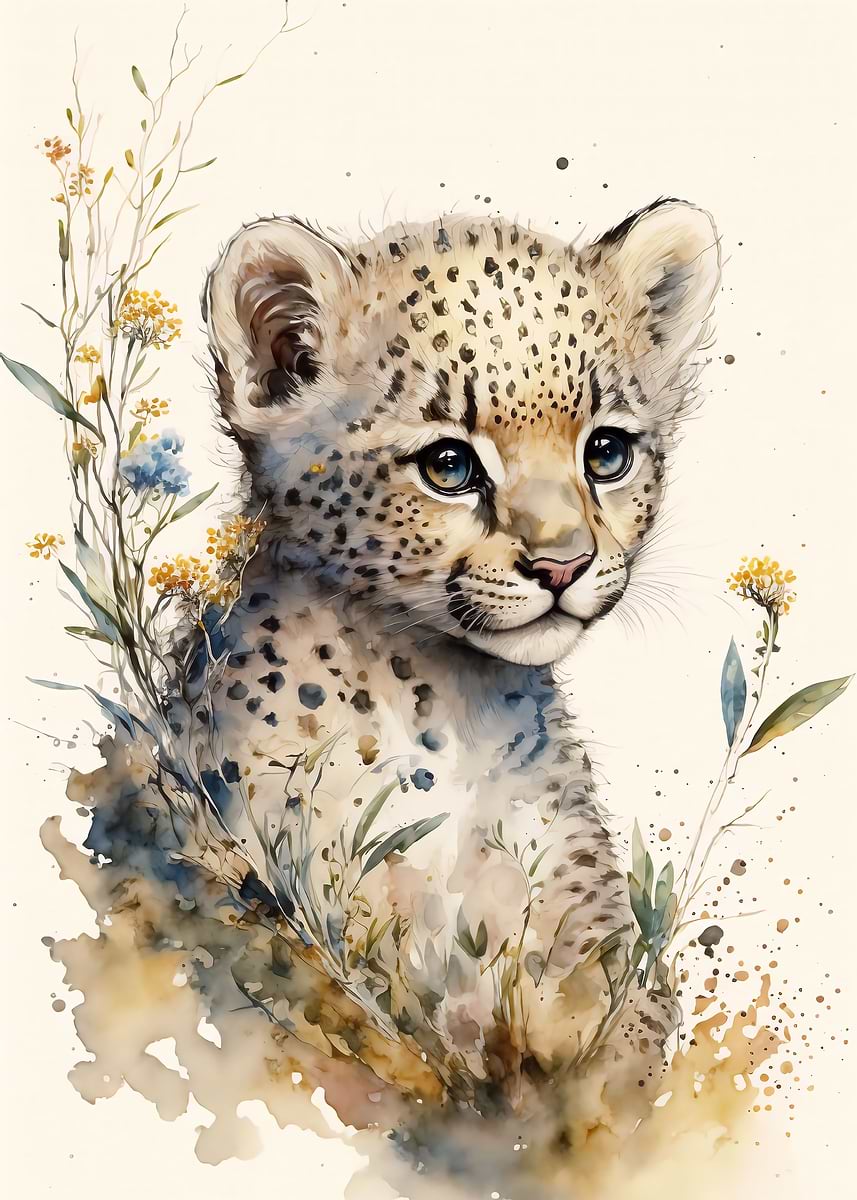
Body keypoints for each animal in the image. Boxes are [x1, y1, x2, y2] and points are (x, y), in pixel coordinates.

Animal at [188, 198, 721, 1115]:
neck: (446, 700)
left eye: (605, 452)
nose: (563, 565)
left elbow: (614, 1068)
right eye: (448, 464)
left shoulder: (587, 952)